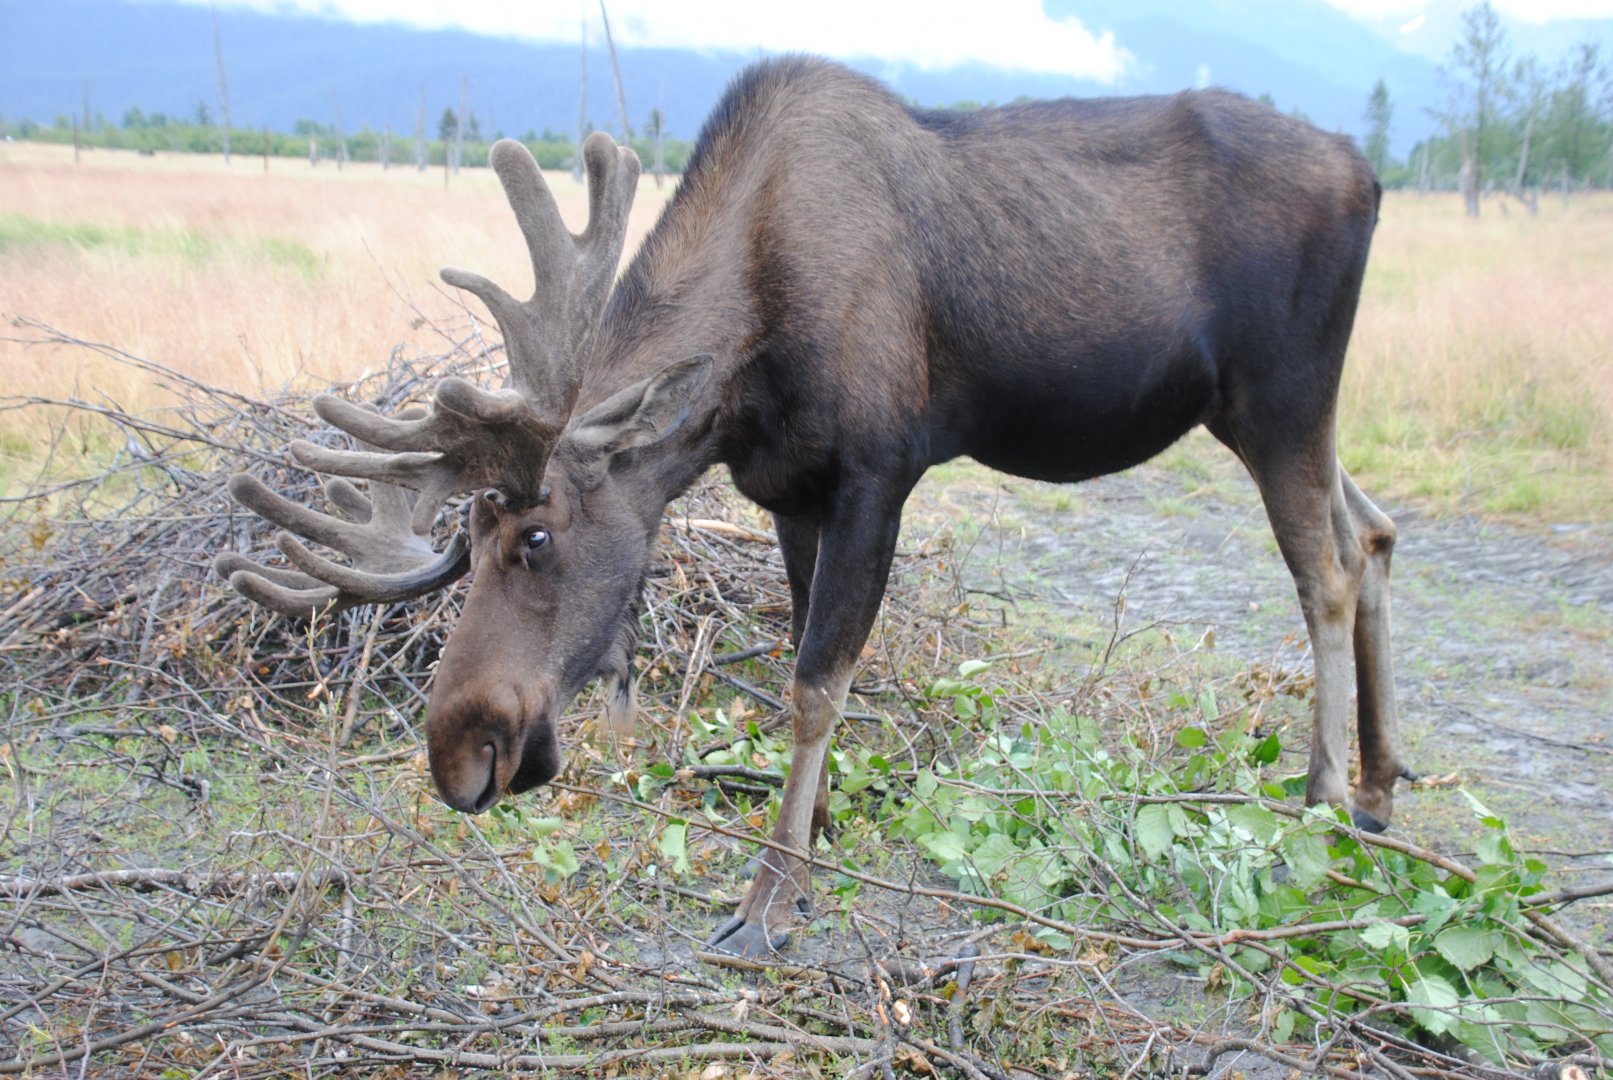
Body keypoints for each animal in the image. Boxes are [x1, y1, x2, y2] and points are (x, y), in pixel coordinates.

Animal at [216, 56, 1411, 957]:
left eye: (536, 535)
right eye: (462, 542)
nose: (458, 752)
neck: (742, 370)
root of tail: (1370, 174)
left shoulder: (881, 470)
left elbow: (814, 684)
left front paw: (767, 897)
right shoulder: (787, 491)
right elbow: (803, 661)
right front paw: (819, 831)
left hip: (1283, 394)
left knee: (1323, 570)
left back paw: (1318, 794)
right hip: (1252, 411)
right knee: (1375, 531)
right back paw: (1376, 787)